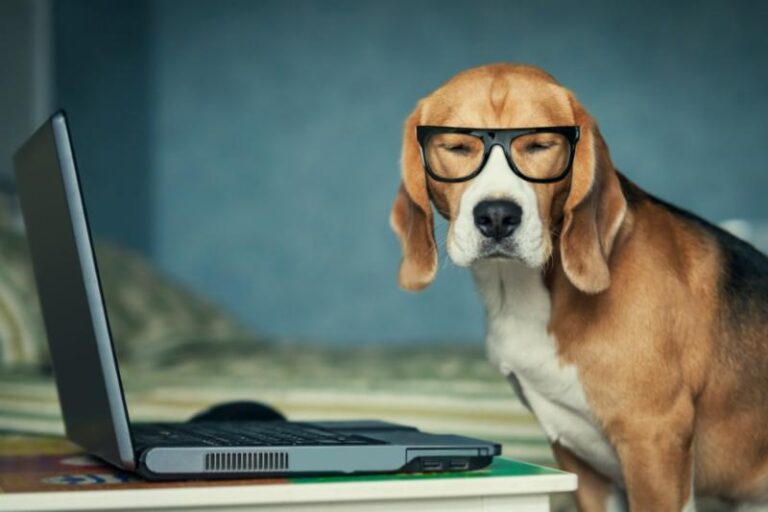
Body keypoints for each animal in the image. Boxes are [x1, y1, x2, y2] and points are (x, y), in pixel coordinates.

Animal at [390, 62, 768, 510]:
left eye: (540, 145)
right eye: (457, 147)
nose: (497, 216)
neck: (524, 293)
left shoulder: (654, 441)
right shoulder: (581, 464)